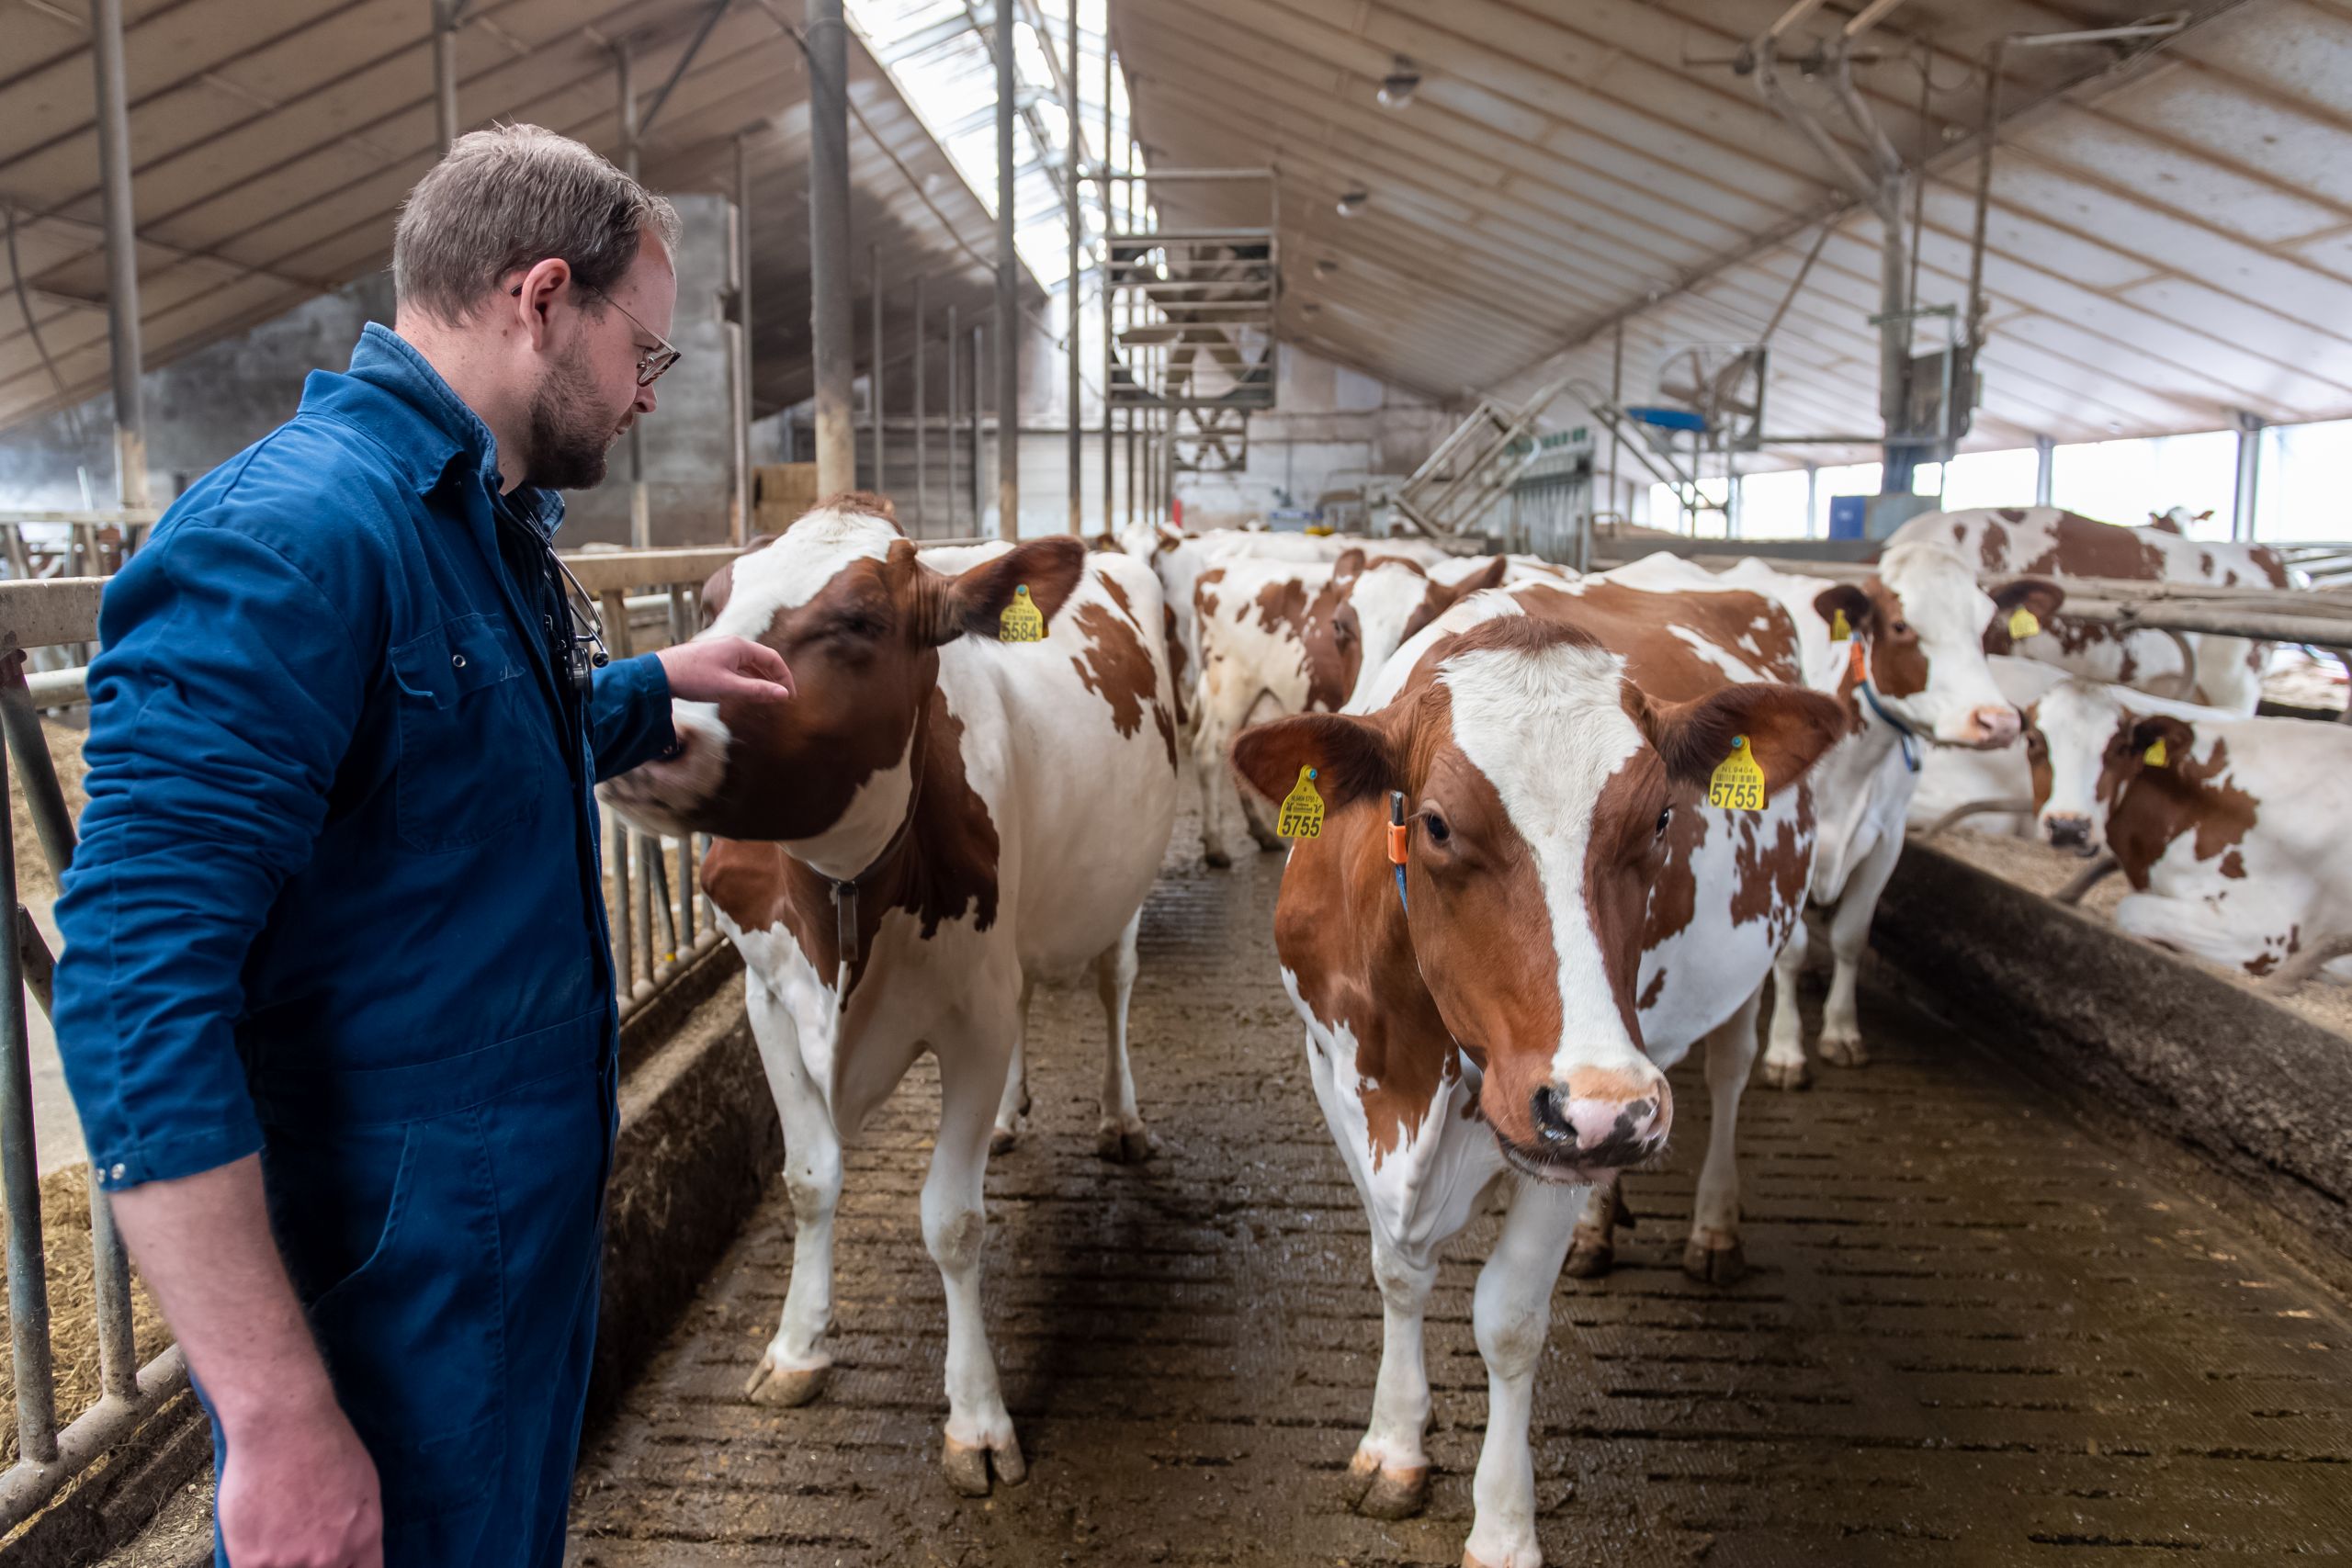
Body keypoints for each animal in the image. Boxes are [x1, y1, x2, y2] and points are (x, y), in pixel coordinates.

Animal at [593, 501, 1176, 1495]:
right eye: (710, 601)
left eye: (860, 621)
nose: (654, 729)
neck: (839, 896)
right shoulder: (768, 997)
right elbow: (808, 1178)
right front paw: (796, 1348)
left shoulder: (970, 1021)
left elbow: (952, 1219)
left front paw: (976, 1419)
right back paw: (1011, 1116)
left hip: (1118, 891)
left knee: (1113, 985)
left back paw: (1120, 1116)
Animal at [1261, 582, 1844, 1561]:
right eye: (1436, 823)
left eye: (1660, 819)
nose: (1615, 1108)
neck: (1417, 1065)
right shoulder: (1336, 1070)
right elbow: (1396, 1270)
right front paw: (1394, 1444)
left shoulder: (1564, 1128)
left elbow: (1507, 1318)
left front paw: (1502, 1528)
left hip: (1732, 979)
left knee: (1728, 1076)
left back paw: (1714, 1227)